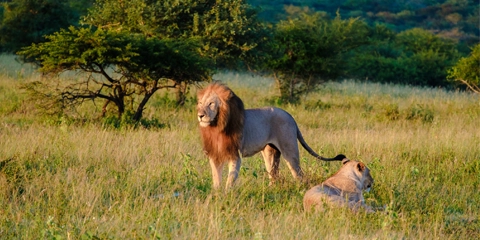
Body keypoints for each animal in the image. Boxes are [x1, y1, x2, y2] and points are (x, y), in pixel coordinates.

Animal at [195, 82, 344, 189]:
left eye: (211, 103)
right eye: (200, 103)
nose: (200, 115)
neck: (216, 127)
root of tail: (290, 116)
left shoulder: (235, 155)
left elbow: (230, 179)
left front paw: (227, 194)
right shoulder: (215, 154)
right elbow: (216, 178)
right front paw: (216, 194)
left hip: (290, 150)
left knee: (299, 174)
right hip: (270, 152)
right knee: (274, 174)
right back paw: (272, 190)